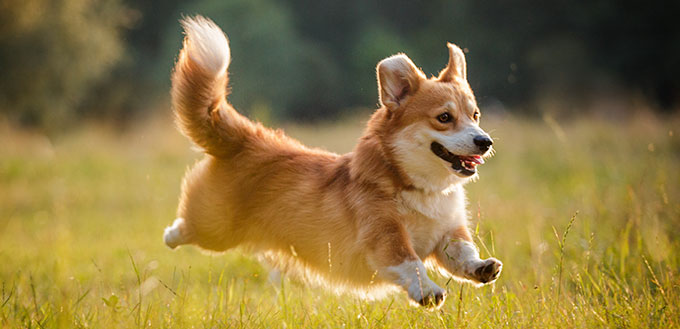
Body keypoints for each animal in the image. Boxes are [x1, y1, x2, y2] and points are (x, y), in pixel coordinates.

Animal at [165, 16, 502, 308]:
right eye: (444, 118)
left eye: (475, 115)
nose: (485, 142)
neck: (421, 187)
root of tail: (247, 138)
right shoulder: (384, 236)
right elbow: (411, 263)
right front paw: (429, 291)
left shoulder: (448, 233)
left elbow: (462, 252)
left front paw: (482, 267)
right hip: (215, 228)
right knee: (185, 228)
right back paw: (171, 235)